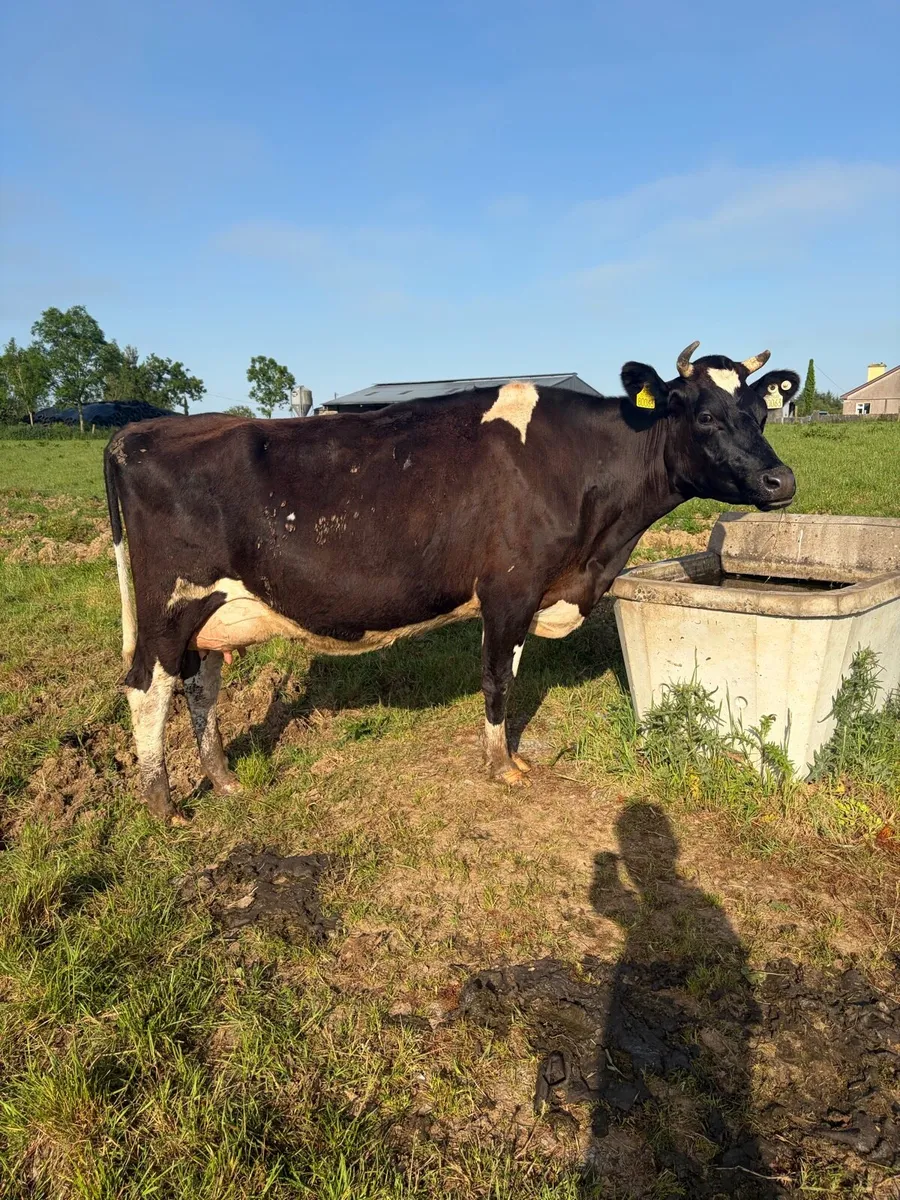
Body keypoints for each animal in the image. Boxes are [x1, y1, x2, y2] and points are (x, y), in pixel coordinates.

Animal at [104, 342, 799, 823]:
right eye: (704, 416)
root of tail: (140, 430)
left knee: (200, 686)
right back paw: (163, 806)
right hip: (171, 600)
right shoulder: (511, 588)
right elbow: (497, 681)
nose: (781, 480)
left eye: (761, 412)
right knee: (146, 687)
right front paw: (502, 766)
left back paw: (224, 781)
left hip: (212, 613)